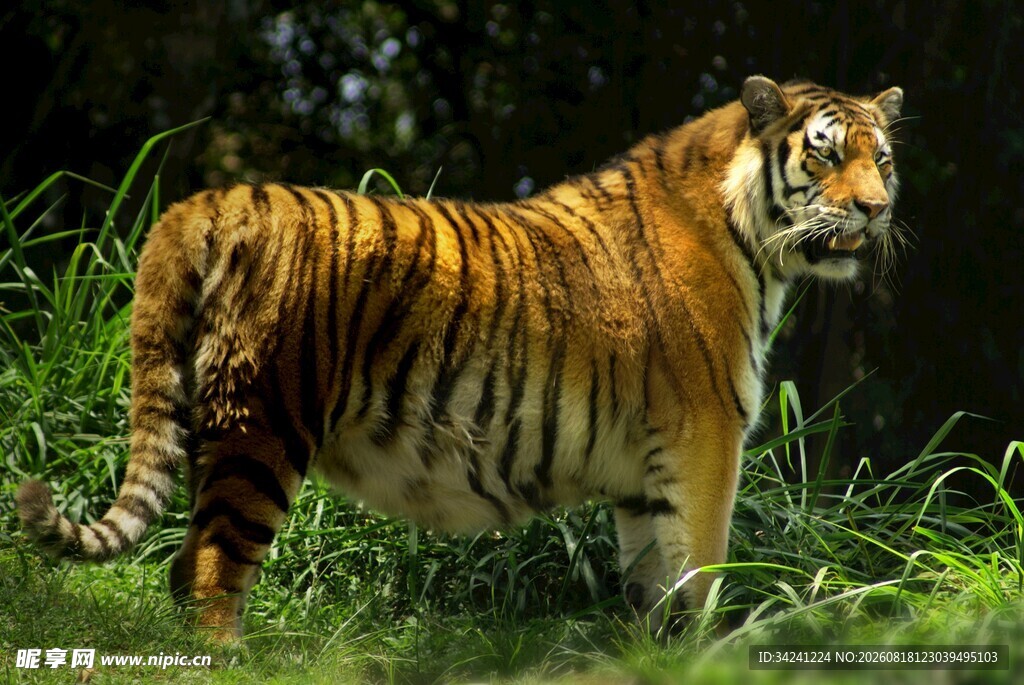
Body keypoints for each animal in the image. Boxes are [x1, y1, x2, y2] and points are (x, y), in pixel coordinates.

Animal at [17, 76, 903, 640]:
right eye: (825, 154)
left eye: (883, 158)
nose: (877, 208)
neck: (748, 232)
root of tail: (217, 195)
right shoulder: (707, 438)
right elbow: (700, 578)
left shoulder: (648, 475)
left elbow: (652, 590)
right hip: (263, 420)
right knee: (207, 568)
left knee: (180, 562)